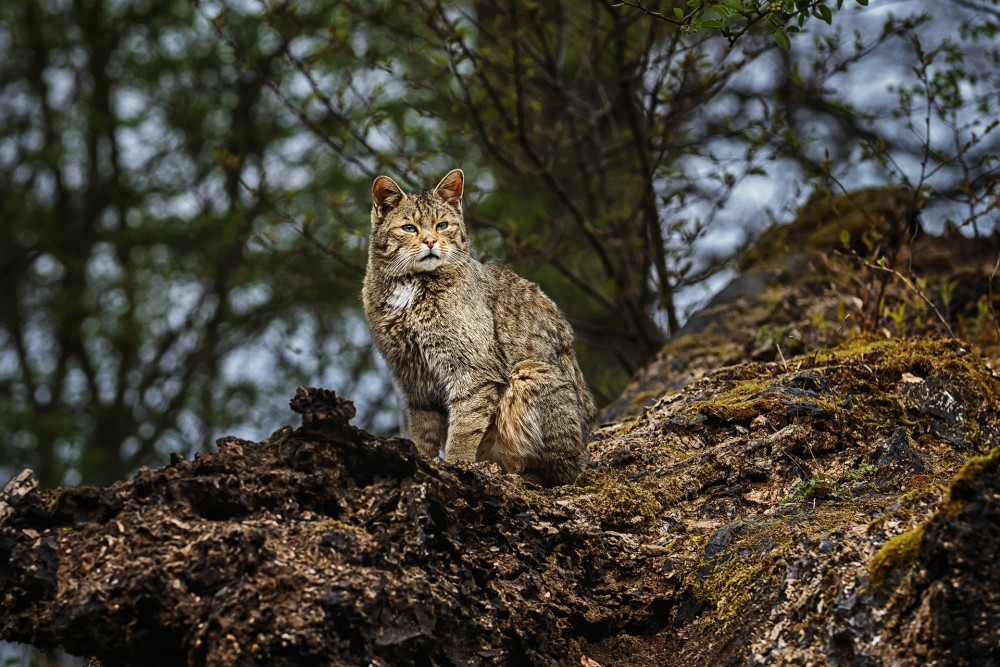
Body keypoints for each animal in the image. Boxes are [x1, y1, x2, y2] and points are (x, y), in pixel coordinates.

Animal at [364, 170, 592, 486]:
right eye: (409, 228)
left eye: (442, 225)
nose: (431, 241)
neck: (411, 288)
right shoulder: (413, 377)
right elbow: (422, 430)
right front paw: (422, 460)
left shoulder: (471, 370)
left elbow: (464, 425)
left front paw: (457, 464)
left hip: (530, 372)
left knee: (562, 471)